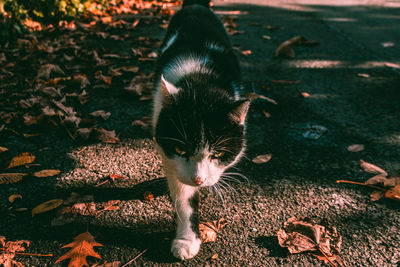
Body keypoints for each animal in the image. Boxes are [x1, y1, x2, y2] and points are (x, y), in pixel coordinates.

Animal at [152, 0, 248, 260]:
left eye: (217, 154)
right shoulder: (170, 155)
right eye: (181, 150)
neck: (200, 80)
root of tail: (195, 5)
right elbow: (184, 199)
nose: (198, 179)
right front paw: (187, 240)